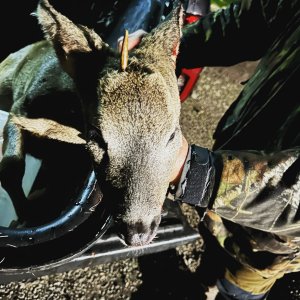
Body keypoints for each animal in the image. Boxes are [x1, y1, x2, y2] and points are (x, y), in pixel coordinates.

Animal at [0, 0, 183, 246]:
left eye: (172, 134)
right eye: (97, 136)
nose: (137, 233)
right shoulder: (19, 109)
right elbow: (10, 168)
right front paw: (24, 217)